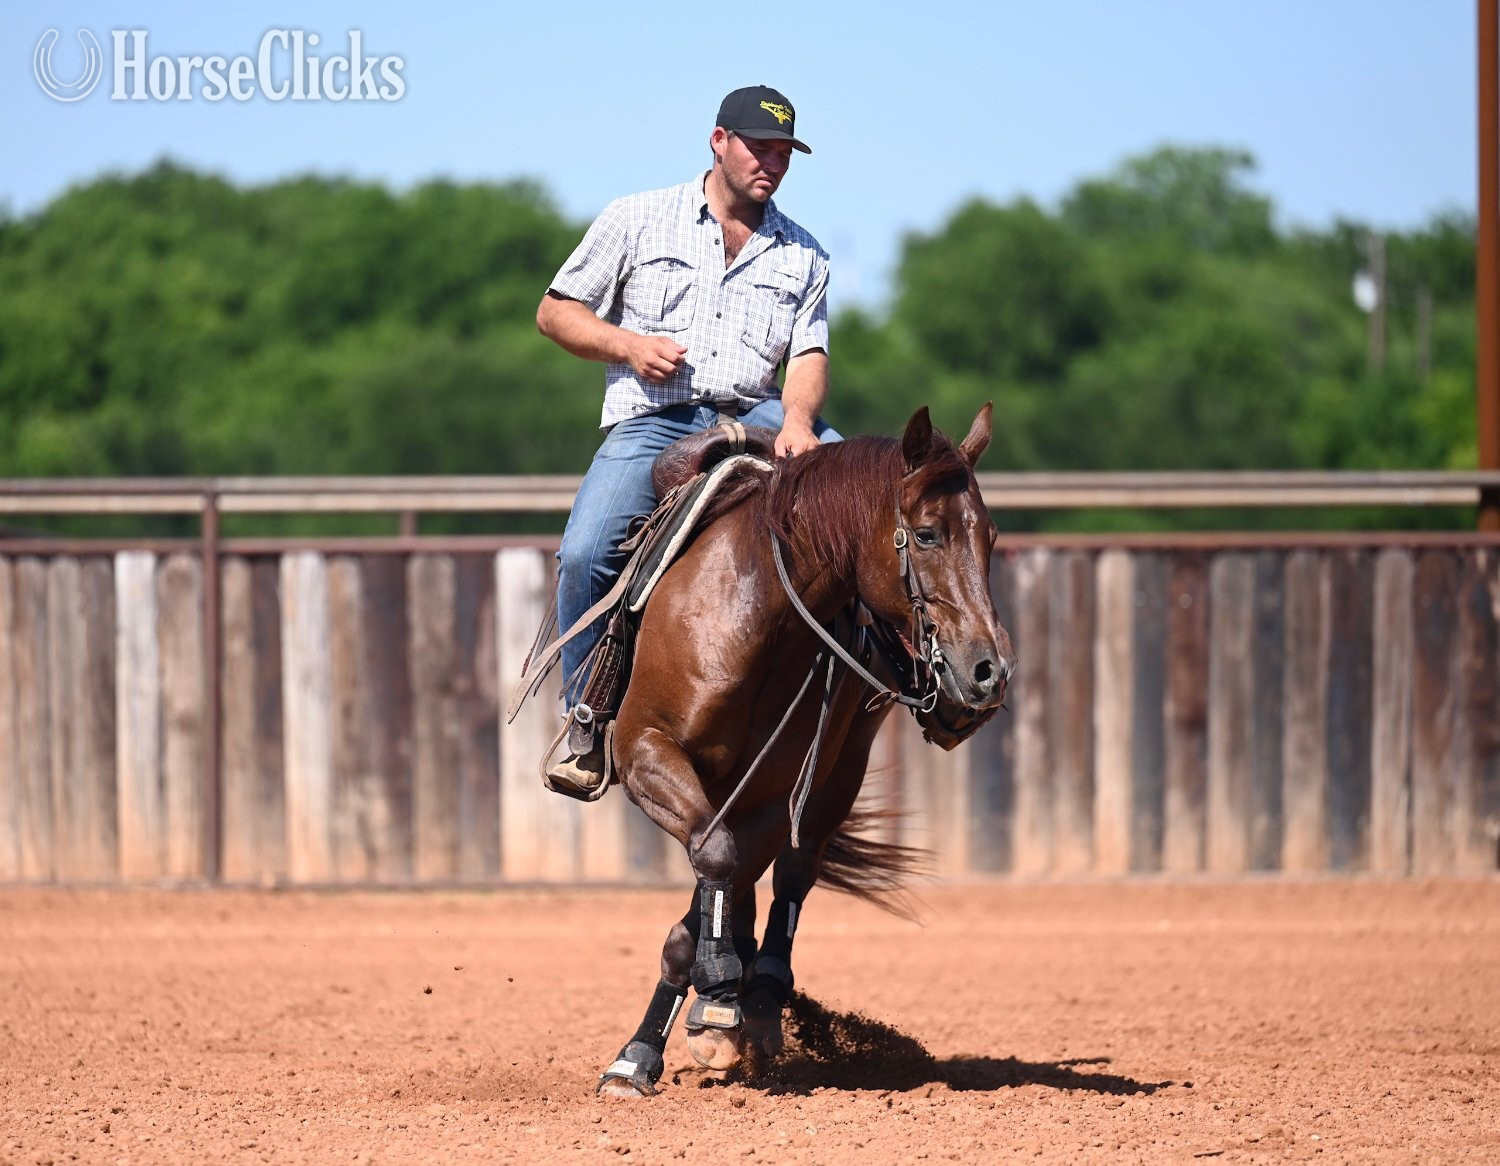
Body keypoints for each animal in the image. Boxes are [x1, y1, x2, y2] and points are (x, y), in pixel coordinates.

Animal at [592, 404, 1015, 1097]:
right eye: (926, 534)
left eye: (992, 538)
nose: (988, 672)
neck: (756, 611)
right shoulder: (644, 750)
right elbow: (716, 858)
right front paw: (669, 1033)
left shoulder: (772, 791)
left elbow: (732, 872)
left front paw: (727, 1009)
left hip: (836, 775)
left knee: (793, 871)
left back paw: (759, 1002)